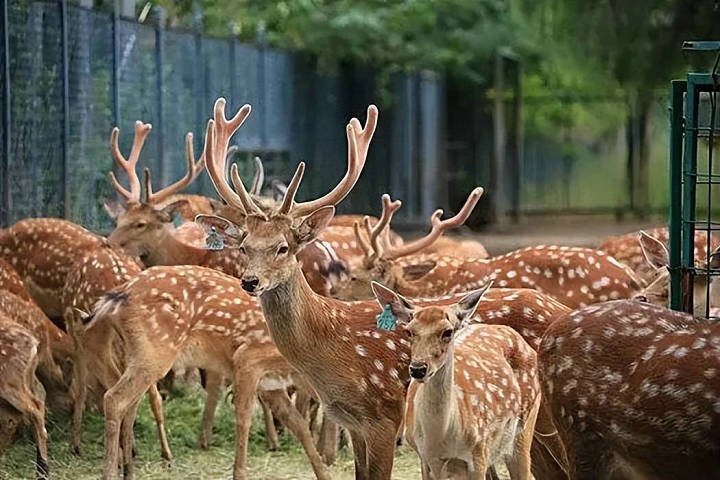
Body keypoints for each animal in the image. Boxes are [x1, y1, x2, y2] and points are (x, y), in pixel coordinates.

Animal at [372, 282, 540, 480]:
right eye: (409, 331)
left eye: (448, 331)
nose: (418, 368)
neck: (440, 439)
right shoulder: (425, 459)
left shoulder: (479, 451)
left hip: (524, 426)